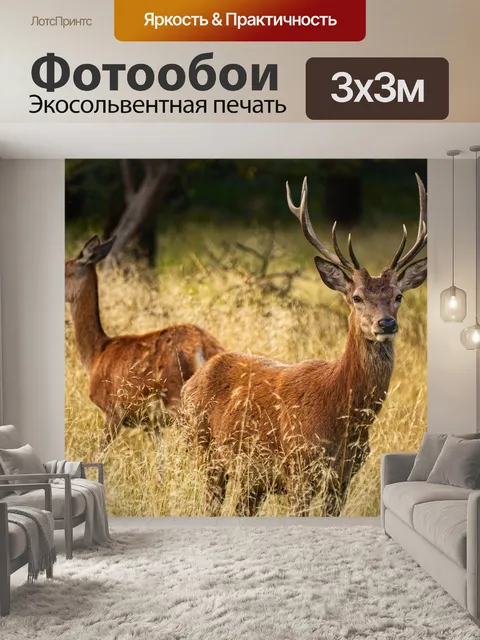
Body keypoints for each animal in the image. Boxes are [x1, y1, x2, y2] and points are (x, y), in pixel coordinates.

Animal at [65, 235, 224, 449]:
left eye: (64, 271)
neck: (96, 354)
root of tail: (202, 346)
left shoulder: (112, 410)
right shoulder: (151, 423)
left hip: (177, 398)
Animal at [182, 174, 427, 517]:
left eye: (399, 296)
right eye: (356, 297)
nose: (386, 323)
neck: (343, 417)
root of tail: (190, 383)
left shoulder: (344, 476)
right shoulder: (299, 467)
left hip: (250, 479)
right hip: (204, 452)